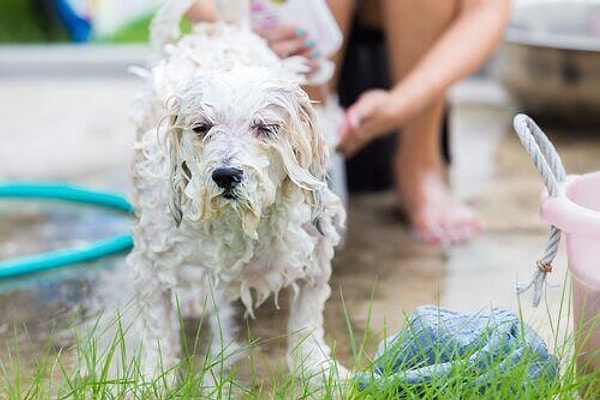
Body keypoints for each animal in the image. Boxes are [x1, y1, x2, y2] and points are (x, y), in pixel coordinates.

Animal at [129, 0, 350, 384]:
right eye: (201, 127)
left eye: (266, 127)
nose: (226, 175)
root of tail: (222, 28)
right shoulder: (152, 262)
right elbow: (156, 331)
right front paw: (150, 381)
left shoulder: (313, 249)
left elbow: (307, 316)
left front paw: (318, 368)